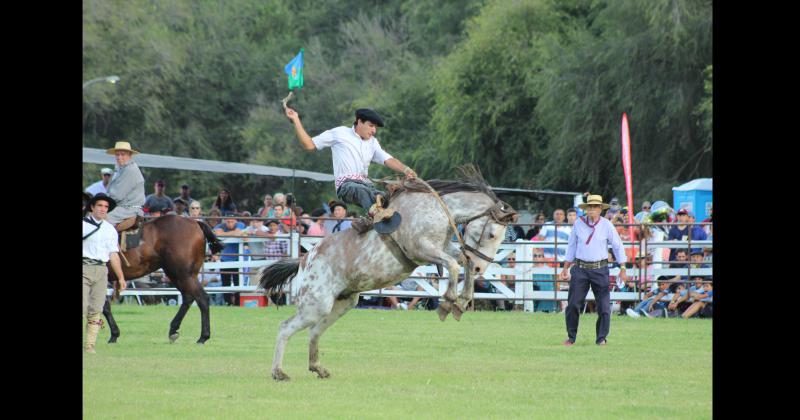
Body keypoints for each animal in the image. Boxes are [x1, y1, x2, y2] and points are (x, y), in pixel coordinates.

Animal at [260, 167, 516, 380]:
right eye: (492, 234)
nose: (482, 268)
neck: (435, 209)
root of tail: (305, 259)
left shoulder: (442, 248)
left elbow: (463, 262)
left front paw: (461, 302)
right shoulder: (422, 249)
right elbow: (453, 265)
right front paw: (448, 302)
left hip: (341, 304)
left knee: (314, 331)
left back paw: (318, 368)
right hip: (315, 304)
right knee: (285, 328)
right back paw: (278, 372)